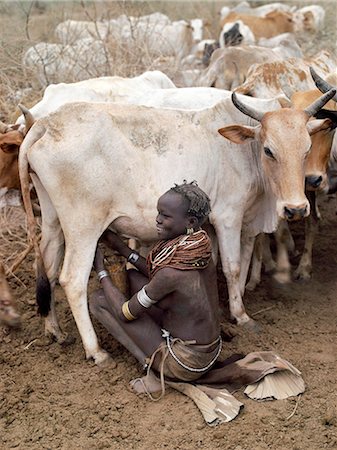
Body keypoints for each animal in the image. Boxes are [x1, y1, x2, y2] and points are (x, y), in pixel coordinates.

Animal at [16, 89, 334, 364]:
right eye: (269, 150)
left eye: (307, 148)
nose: (296, 208)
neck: (243, 151)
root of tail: (45, 123)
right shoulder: (228, 217)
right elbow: (232, 268)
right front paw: (241, 315)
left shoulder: (239, 223)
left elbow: (228, 265)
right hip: (83, 228)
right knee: (72, 279)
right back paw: (95, 351)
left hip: (53, 221)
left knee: (47, 269)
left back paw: (55, 331)